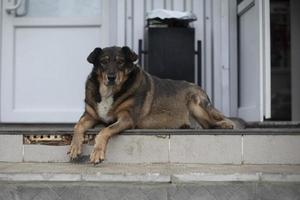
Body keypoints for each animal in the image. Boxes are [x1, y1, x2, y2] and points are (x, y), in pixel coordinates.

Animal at [67, 45, 234, 164]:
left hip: (195, 102)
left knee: (212, 123)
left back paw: (225, 124)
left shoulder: (127, 119)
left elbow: (104, 131)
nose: (111, 77)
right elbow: (77, 126)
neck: (110, 91)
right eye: (103, 62)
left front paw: (97, 152)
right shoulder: (90, 115)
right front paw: (75, 147)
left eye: (120, 62)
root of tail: (199, 88)